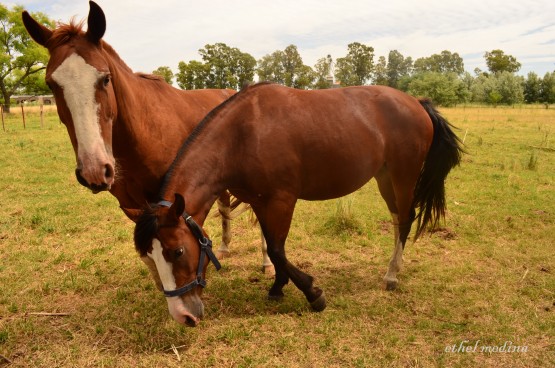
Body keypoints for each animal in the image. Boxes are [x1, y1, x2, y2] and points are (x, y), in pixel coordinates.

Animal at [21, 2, 274, 274]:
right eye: (51, 84)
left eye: (106, 78)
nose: (95, 170)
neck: (143, 134)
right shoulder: (133, 207)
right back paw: (226, 248)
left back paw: (267, 262)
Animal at [129, 82, 464, 326]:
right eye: (150, 255)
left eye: (177, 251)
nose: (182, 316)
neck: (243, 135)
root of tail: (416, 102)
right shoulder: (260, 201)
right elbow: (274, 249)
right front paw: (278, 287)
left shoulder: (282, 199)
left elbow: (278, 249)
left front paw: (313, 293)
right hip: (384, 177)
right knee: (397, 219)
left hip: (403, 175)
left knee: (406, 218)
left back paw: (392, 274)